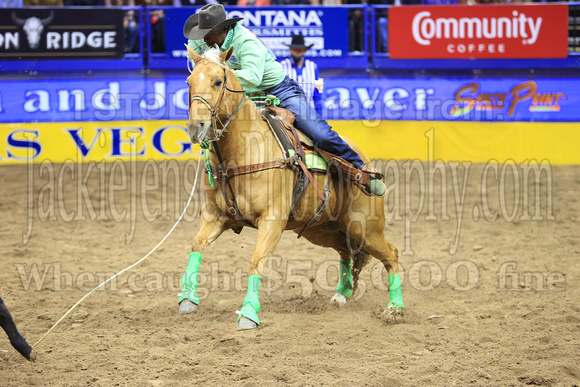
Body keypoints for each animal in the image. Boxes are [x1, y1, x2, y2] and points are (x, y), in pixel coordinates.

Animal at [180, 45, 404, 330]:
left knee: (391, 254)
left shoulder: (272, 220)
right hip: (322, 228)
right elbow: (196, 245)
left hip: (364, 226)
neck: (244, 151)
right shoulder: (214, 215)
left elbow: (256, 261)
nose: (194, 127)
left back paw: (395, 308)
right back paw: (343, 294)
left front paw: (248, 313)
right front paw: (187, 299)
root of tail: (364, 161)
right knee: (346, 251)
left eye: (218, 81)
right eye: (189, 81)